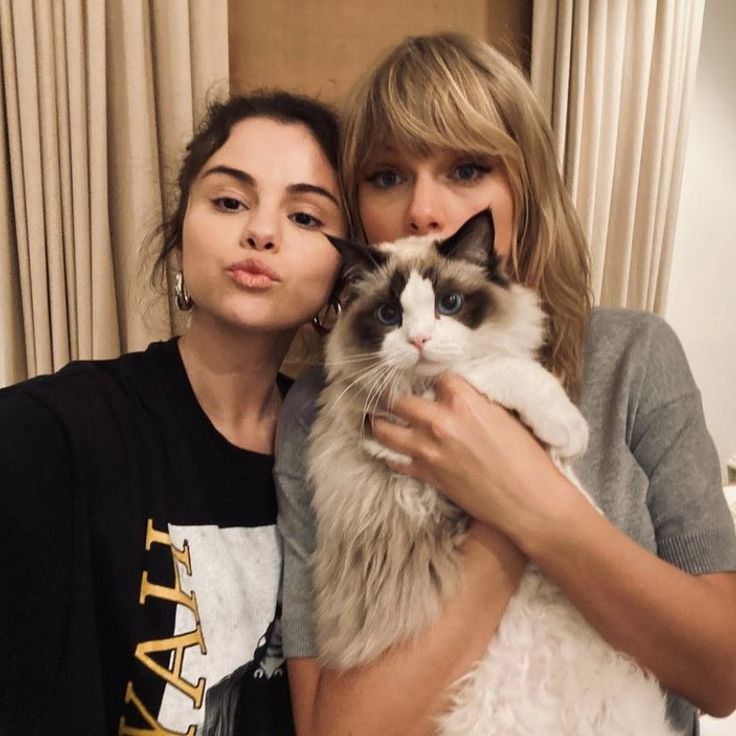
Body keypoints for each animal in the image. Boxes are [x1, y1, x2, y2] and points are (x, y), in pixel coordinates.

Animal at [306, 210, 680, 732]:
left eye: (449, 304)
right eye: (389, 316)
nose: (419, 340)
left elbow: (565, 480)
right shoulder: (389, 412)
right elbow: (493, 371)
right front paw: (567, 428)